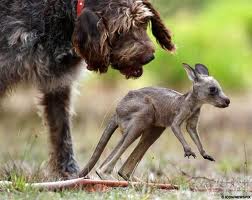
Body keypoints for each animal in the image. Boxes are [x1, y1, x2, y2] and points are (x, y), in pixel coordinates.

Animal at [0, 0, 175, 178]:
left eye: (143, 22)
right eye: (119, 31)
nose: (149, 58)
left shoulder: (58, 85)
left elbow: (62, 132)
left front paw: (68, 173)